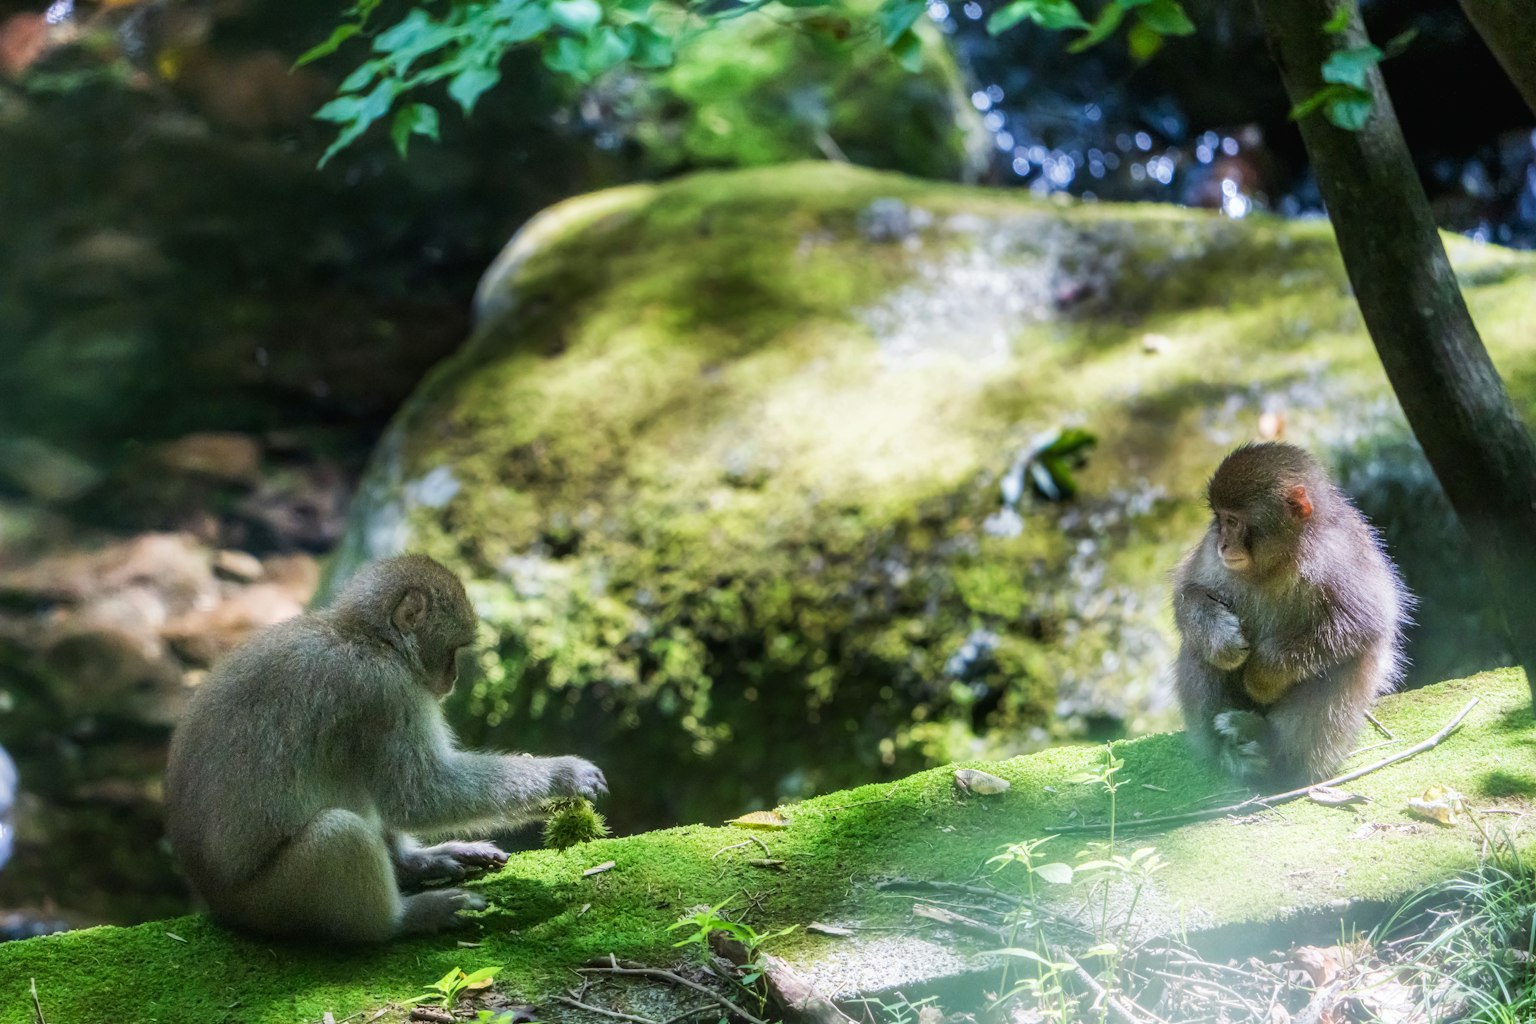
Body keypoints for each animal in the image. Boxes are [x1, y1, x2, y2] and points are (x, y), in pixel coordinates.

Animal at [164, 554, 606, 943]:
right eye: (454, 649)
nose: (453, 677)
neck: (369, 639)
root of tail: (217, 903)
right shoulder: (386, 692)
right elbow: (417, 794)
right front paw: (562, 776)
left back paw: (409, 863)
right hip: (270, 905)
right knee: (339, 834)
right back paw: (401, 920)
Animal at [1172, 442, 1409, 785]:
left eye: (1234, 521)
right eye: (1220, 520)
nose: (1223, 544)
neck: (1277, 561)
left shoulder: (1340, 554)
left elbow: (1364, 622)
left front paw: (1261, 676)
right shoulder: (1208, 554)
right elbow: (1187, 592)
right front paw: (1223, 640)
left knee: (1344, 664)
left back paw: (1275, 752)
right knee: (1196, 647)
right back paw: (1228, 752)